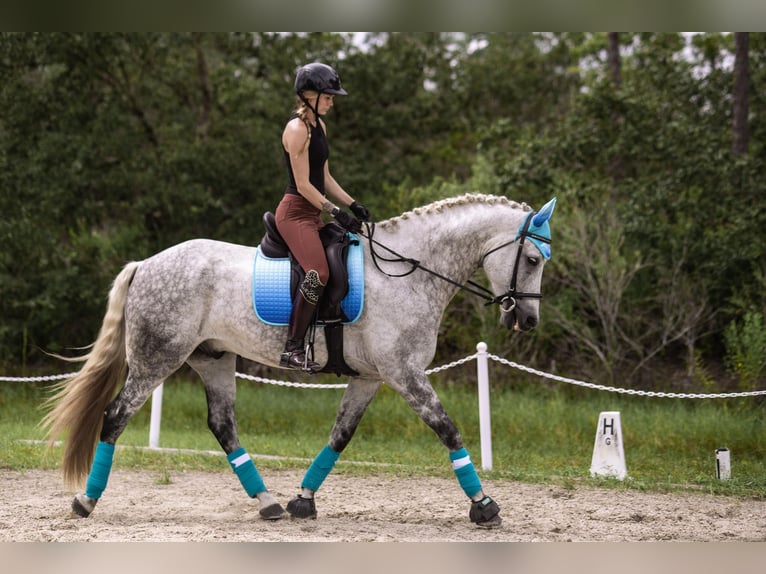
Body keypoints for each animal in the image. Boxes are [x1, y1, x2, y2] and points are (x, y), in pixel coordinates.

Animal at [43, 195, 560, 532]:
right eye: (534, 260)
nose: (528, 320)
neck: (407, 272)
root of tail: (146, 264)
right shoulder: (405, 375)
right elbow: (448, 430)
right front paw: (484, 505)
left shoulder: (371, 378)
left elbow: (340, 436)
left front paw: (302, 501)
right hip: (158, 359)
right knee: (116, 415)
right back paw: (85, 500)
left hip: (213, 359)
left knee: (223, 426)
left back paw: (269, 503)